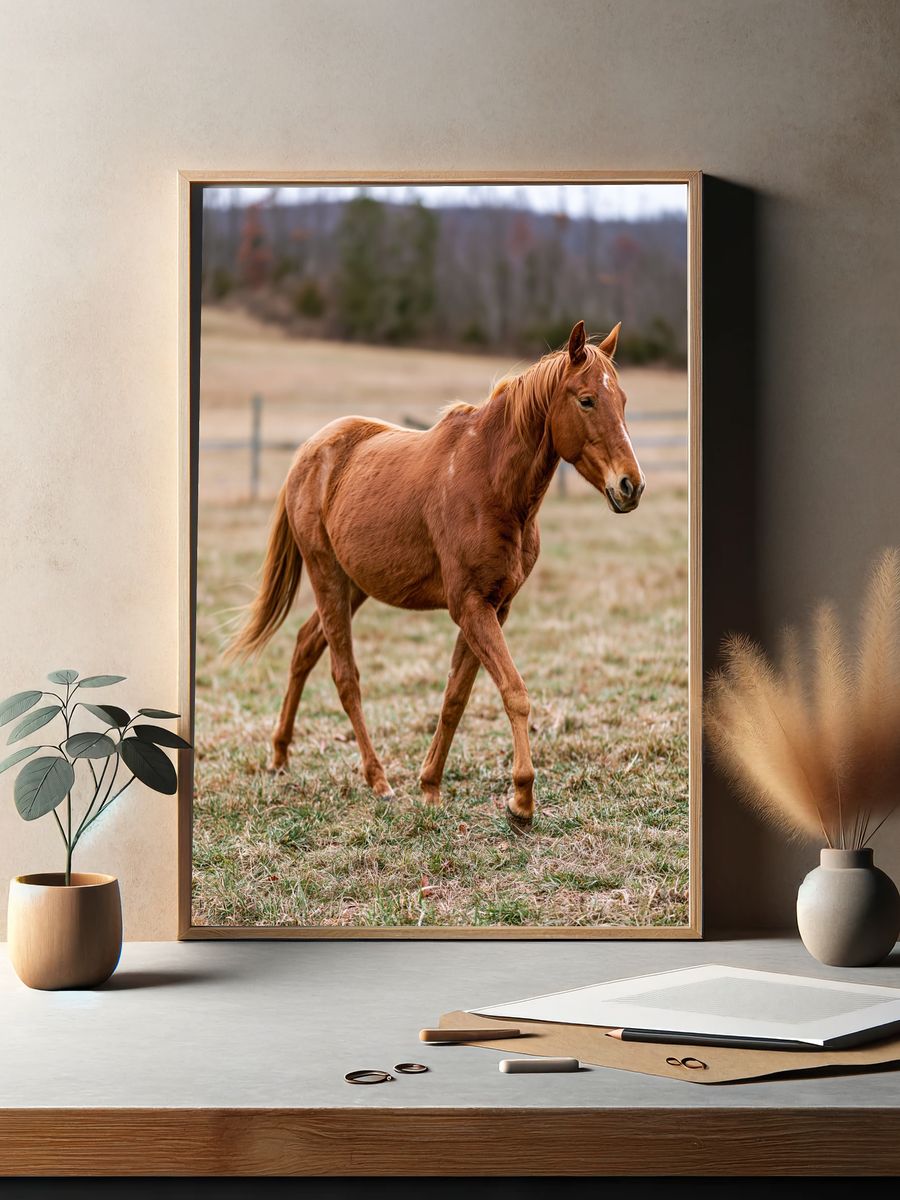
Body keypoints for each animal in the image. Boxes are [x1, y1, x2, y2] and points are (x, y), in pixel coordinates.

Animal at [227, 320, 644, 830]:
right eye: (586, 400)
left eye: (621, 400)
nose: (631, 486)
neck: (490, 482)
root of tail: (309, 452)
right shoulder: (469, 606)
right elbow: (514, 691)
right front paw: (521, 799)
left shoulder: (494, 607)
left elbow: (455, 698)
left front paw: (430, 786)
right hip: (327, 577)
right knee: (345, 676)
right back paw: (377, 779)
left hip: (353, 585)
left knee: (305, 648)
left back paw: (280, 755)